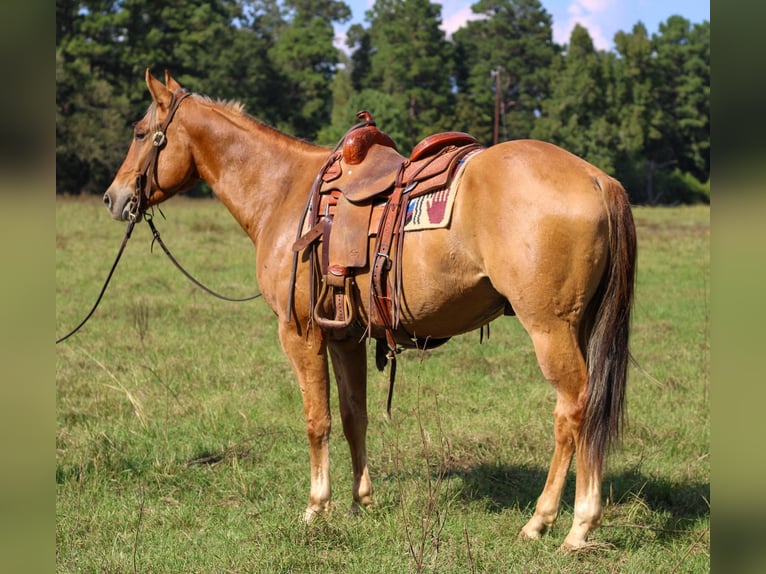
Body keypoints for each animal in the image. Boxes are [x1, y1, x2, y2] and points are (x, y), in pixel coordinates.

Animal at [103, 70, 640, 552]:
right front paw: (362, 501)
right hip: (581, 327)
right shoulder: (344, 335)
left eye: (139, 132)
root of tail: (597, 178)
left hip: (550, 329)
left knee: (573, 409)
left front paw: (317, 507)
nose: (113, 197)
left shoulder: (299, 333)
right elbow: (351, 416)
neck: (284, 191)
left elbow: (316, 420)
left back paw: (559, 524)